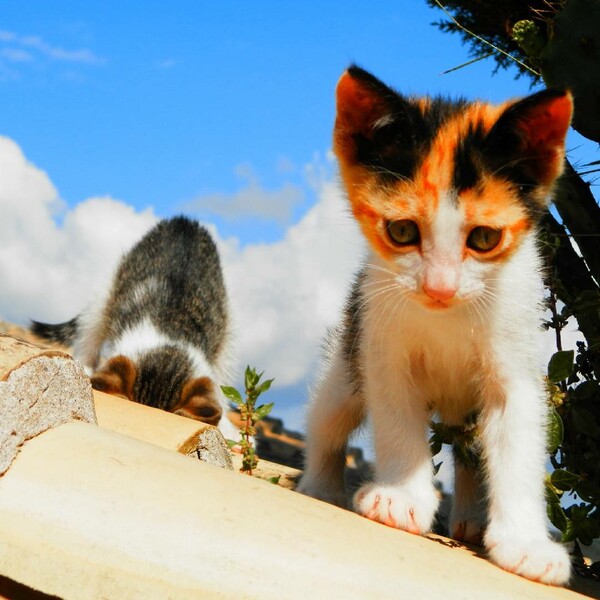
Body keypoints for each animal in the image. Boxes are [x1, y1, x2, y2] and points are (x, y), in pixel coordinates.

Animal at [298, 67, 576, 584]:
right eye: (402, 231)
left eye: (484, 239)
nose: (440, 288)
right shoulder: (382, 349)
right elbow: (396, 420)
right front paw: (402, 498)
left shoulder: (516, 364)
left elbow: (517, 437)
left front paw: (525, 543)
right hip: (350, 348)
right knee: (329, 416)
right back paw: (321, 486)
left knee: (470, 446)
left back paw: (471, 517)